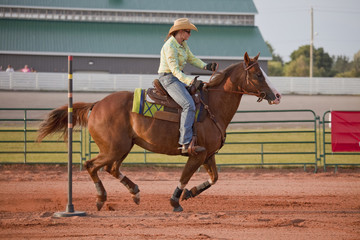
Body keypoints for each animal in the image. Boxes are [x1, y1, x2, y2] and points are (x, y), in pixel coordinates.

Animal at [38, 52, 282, 212]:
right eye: (259, 75)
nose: (277, 95)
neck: (212, 105)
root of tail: (96, 104)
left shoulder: (209, 155)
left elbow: (214, 178)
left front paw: (190, 193)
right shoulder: (197, 154)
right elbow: (184, 176)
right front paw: (175, 201)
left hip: (122, 147)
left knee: (111, 168)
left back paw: (135, 192)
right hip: (114, 148)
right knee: (92, 165)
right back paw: (101, 198)